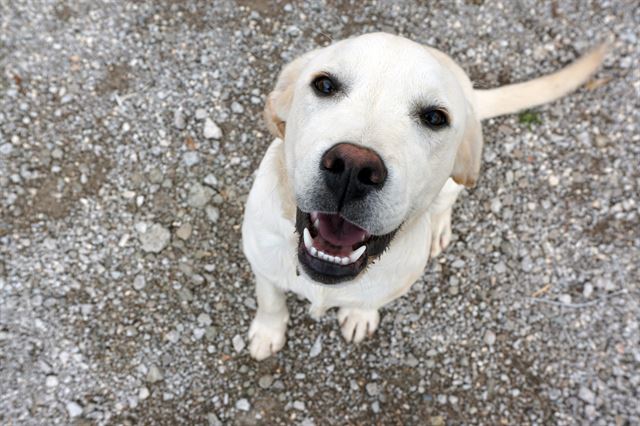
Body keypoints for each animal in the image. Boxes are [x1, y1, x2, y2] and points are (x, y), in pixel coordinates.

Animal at [240, 32, 604, 360]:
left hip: (454, 184)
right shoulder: (261, 263)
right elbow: (270, 300)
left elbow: (369, 301)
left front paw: (359, 315)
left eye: (434, 117)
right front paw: (268, 333)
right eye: (325, 85)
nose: (353, 168)